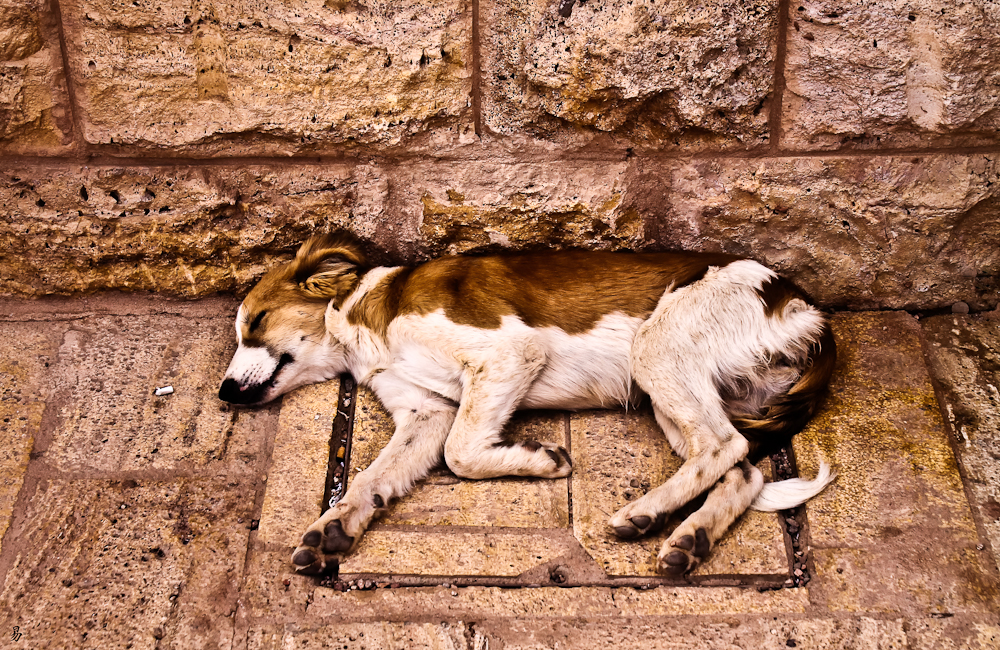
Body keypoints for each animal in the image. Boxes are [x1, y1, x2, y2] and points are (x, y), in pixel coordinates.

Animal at [217, 232, 836, 572]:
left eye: (257, 322)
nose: (222, 393)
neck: (363, 315)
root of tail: (805, 306)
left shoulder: (508, 353)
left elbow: (461, 453)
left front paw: (541, 460)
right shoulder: (425, 412)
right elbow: (373, 477)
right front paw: (334, 527)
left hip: (657, 346)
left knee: (725, 447)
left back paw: (645, 513)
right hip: (675, 392)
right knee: (741, 468)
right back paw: (690, 538)